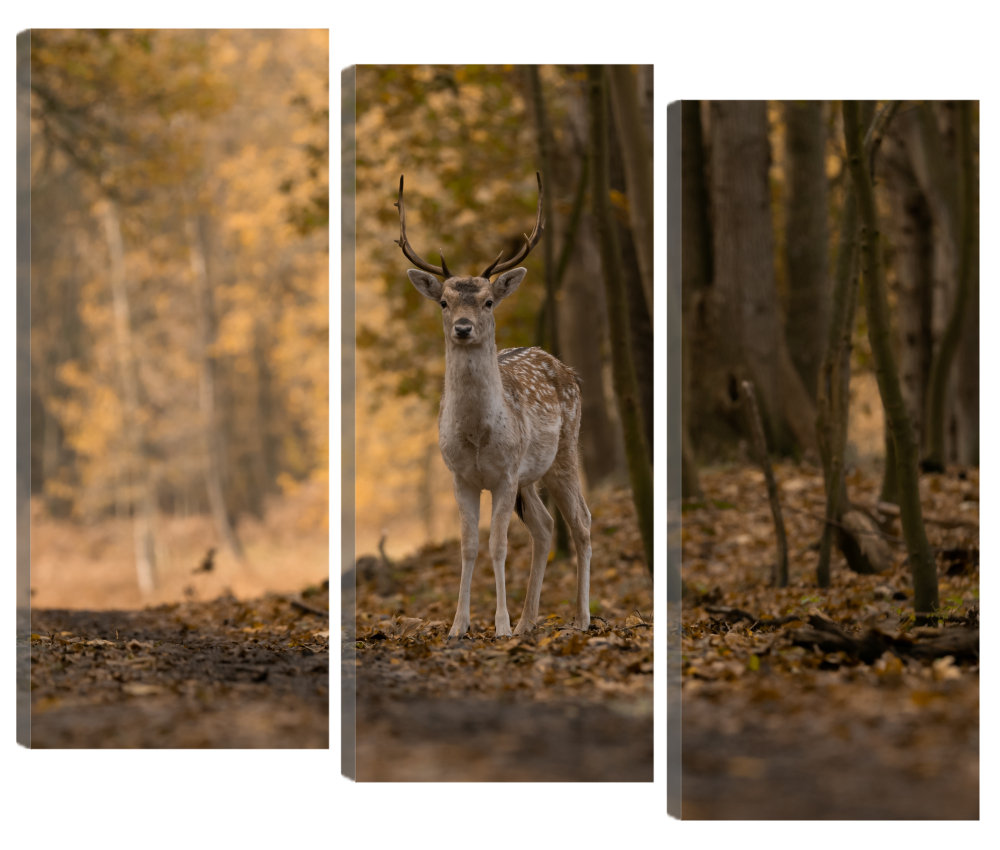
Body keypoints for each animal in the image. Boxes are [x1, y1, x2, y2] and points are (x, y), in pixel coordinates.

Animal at [394, 172, 588, 636]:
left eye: (487, 301)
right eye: (444, 302)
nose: (463, 328)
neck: (477, 435)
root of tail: (566, 368)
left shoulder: (504, 474)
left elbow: (498, 545)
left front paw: (498, 625)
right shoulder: (460, 476)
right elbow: (468, 546)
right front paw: (458, 625)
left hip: (564, 452)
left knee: (582, 523)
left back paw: (581, 618)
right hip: (530, 475)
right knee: (546, 526)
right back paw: (528, 623)